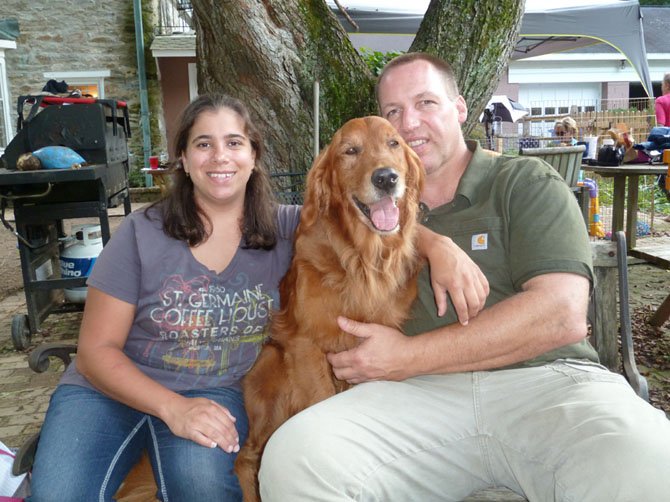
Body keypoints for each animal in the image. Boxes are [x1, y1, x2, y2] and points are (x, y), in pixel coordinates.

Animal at [235, 115, 426, 500]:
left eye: (394, 143)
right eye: (350, 151)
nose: (386, 178)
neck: (363, 261)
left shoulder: (373, 349)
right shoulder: (305, 345)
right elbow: (320, 402)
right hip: (273, 369)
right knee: (246, 457)